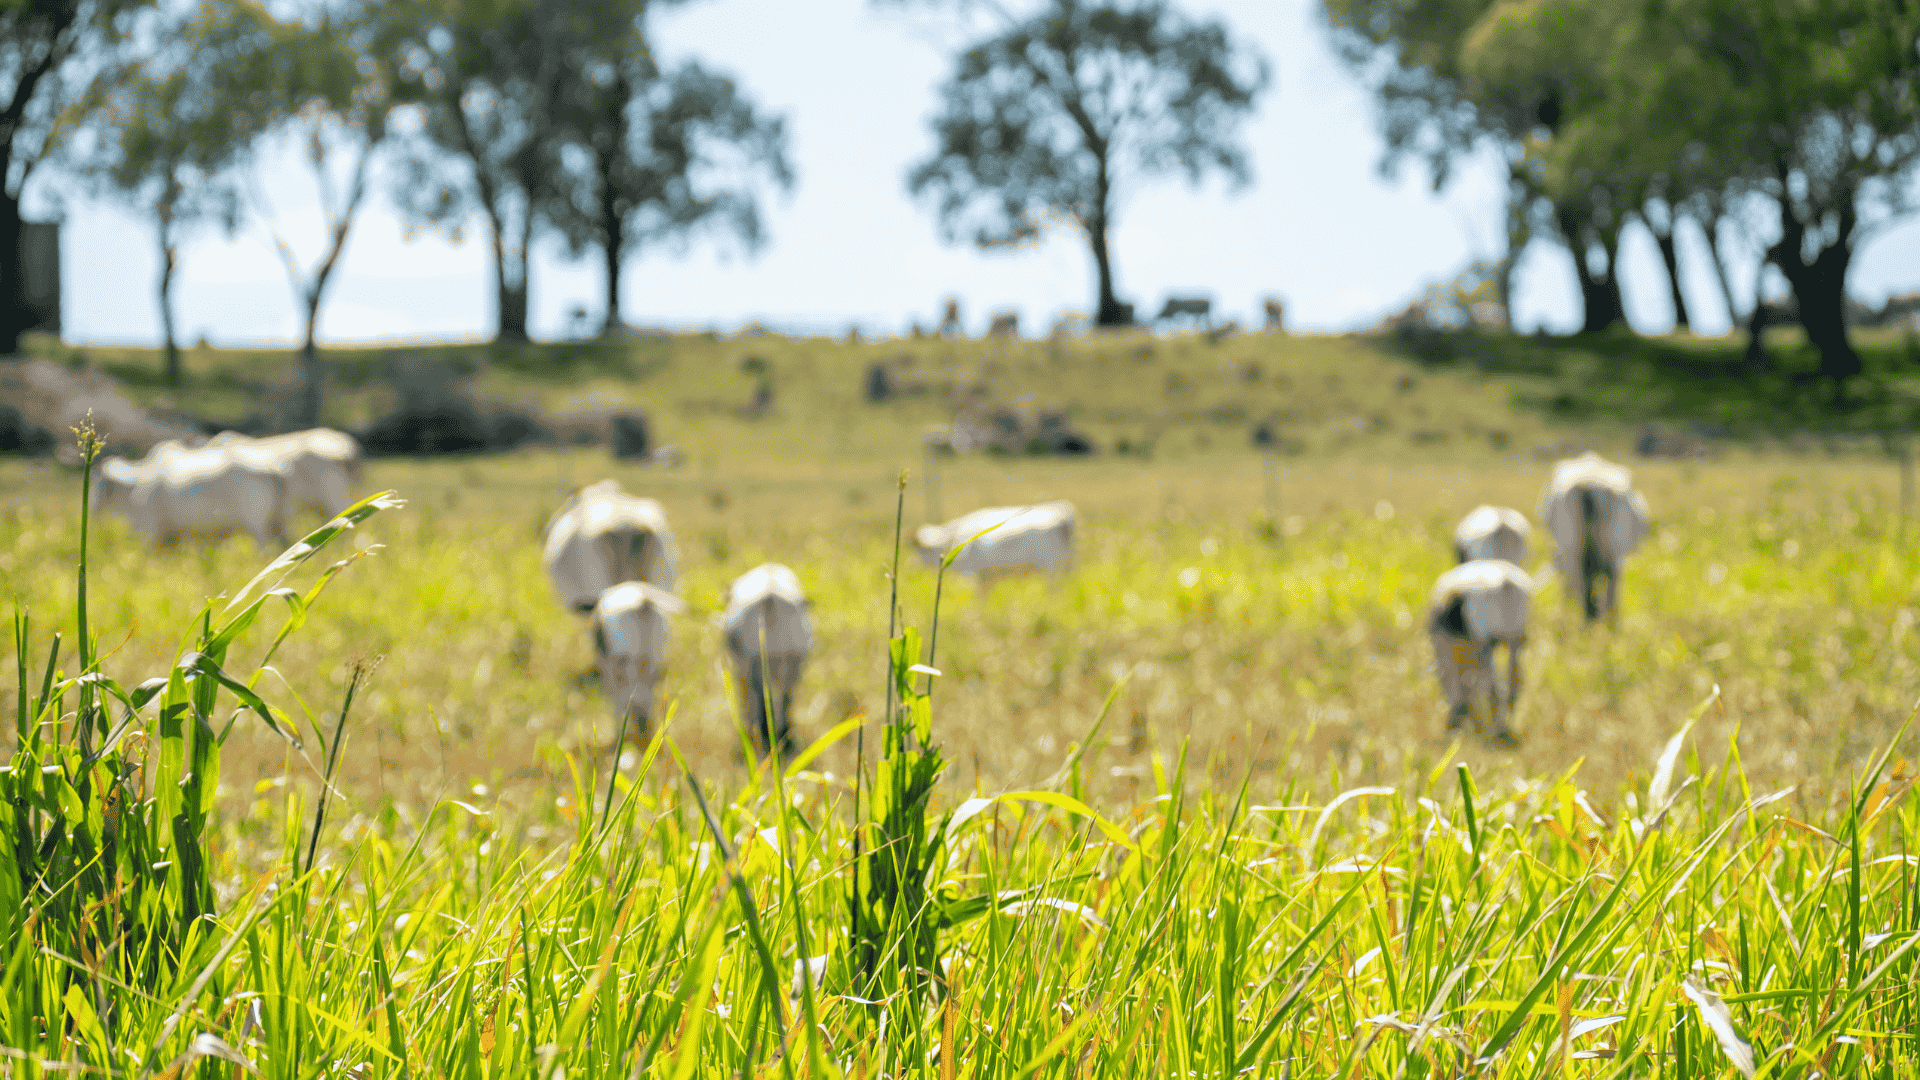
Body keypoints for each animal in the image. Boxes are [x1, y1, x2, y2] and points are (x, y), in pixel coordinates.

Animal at [89, 443, 291, 550]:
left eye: (94, 483)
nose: (91, 509)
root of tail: (272, 468)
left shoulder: (150, 531)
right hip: (279, 522)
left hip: (257, 526)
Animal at [1429, 559, 1533, 741]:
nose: (1452, 727)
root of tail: (1506, 582)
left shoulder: (1445, 652)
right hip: (1515, 641)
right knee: (1513, 686)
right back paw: (1503, 729)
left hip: (1486, 644)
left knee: (1495, 691)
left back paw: (1495, 731)